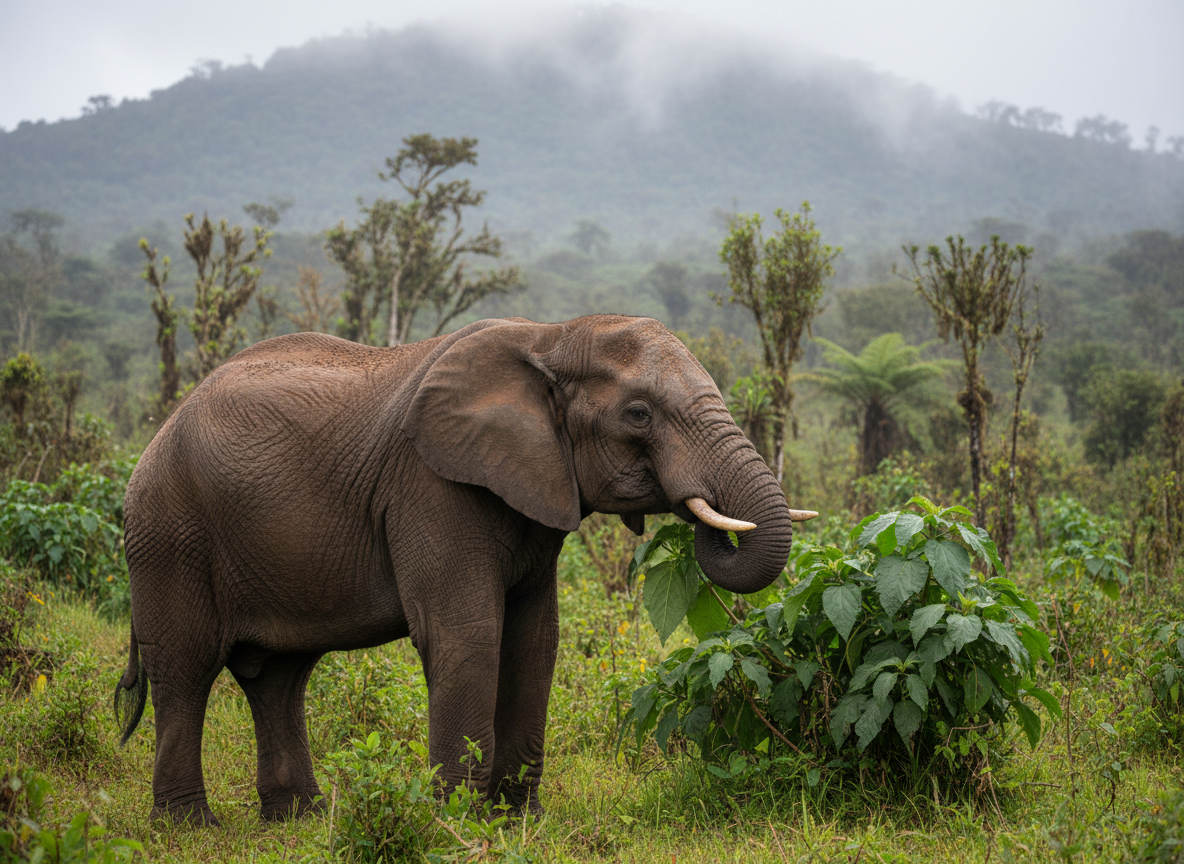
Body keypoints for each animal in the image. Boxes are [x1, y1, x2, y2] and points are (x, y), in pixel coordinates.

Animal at [113, 314, 812, 826]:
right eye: (638, 414)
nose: (706, 519)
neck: (552, 335)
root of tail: (159, 431)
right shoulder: (431, 486)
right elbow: (468, 634)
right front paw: (456, 822)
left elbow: (536, 640)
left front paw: (518, 819)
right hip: (168, 532)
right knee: (187, 669)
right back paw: (189, 828)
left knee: (279, 678)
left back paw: (300, 820)